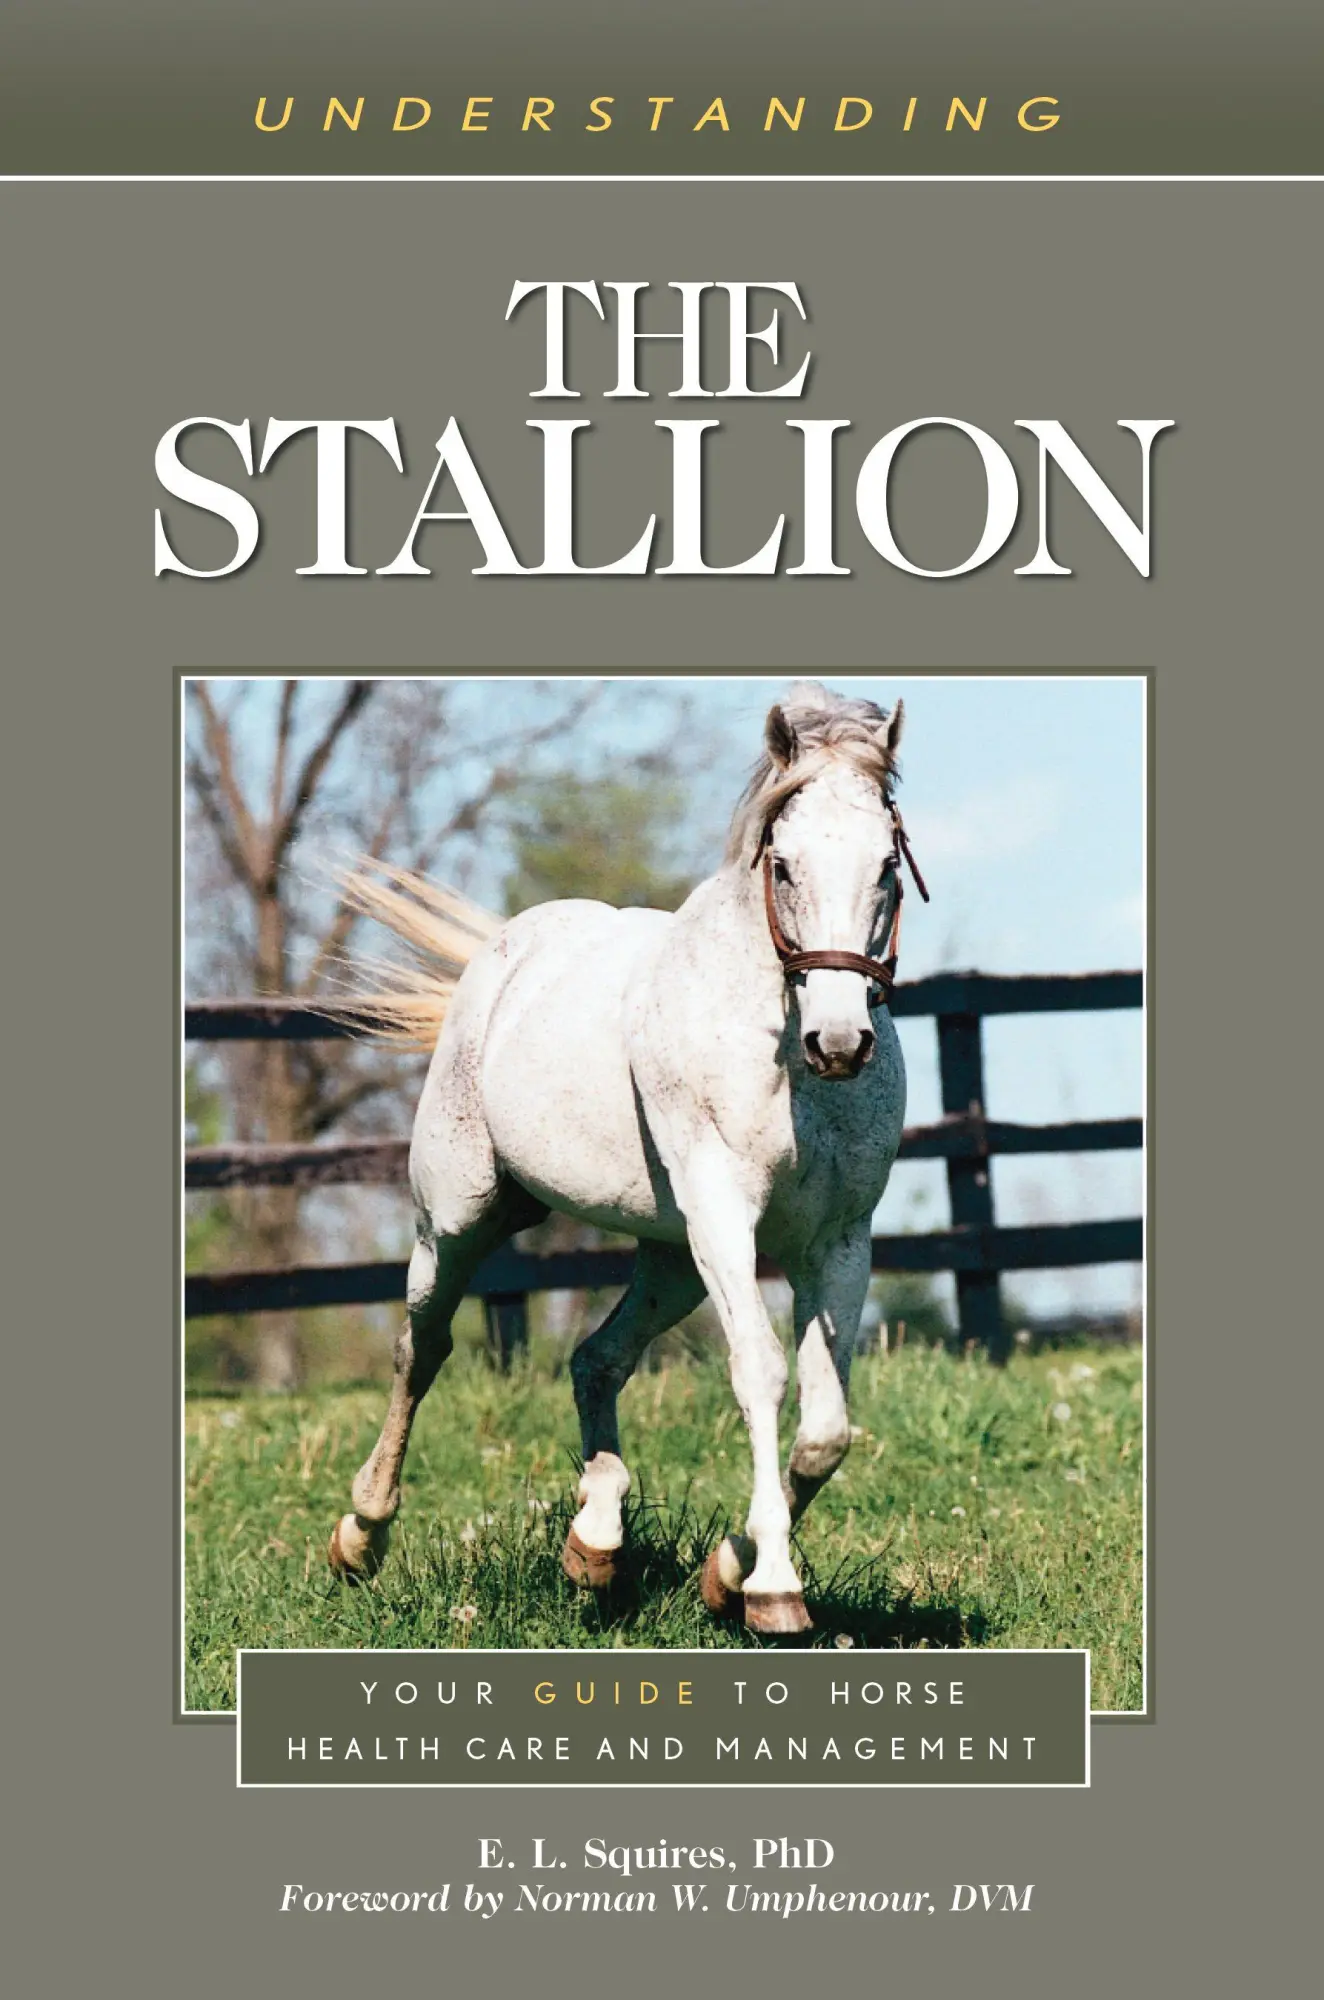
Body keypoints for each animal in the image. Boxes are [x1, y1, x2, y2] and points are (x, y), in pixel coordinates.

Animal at [328, 681, 928, 1634]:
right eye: (784, 866)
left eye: (886, 868)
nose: (840, 1042)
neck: (785, 1063)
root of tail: (505, 952)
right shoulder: (726, 1220)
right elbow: (760, 1373)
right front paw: (773, 1589)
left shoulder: (838, 1242)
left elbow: (827, 1427)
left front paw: (727, 1571)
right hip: (458, 1221)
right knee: (421, 1348)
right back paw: (361, 1537)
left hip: (670, 1260)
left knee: (595, 1359)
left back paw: (597, 1545)